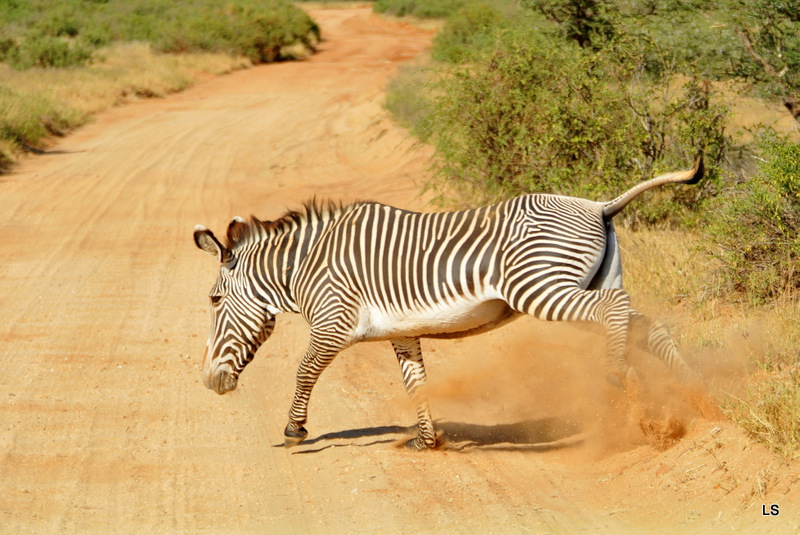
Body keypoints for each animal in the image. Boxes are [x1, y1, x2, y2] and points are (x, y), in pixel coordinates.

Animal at [197, 156, 704, 452]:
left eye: (214, 300)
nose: (208, 383)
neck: (304, 265)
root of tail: (598, 205)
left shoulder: (332, 324)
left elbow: (304, 371)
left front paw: (294, 430)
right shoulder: (402, 334)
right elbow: (415, 385)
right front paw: (426, 441)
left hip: (541, 285)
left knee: (613, 309)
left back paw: (619, 373)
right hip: (584, 279)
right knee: (646, 325)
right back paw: (691, 392)